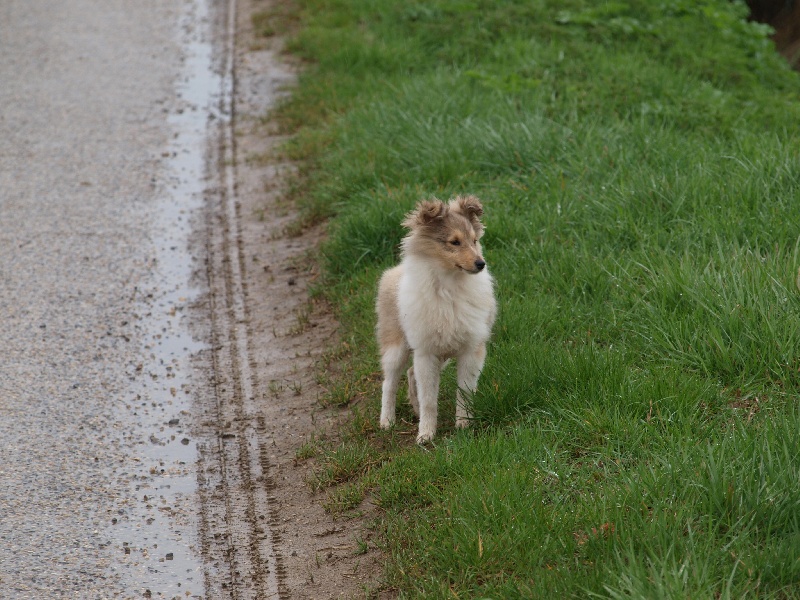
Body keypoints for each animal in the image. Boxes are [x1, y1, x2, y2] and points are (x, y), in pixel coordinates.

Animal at [374, 195, 494, 442]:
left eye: (474, 240)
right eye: (454, 242)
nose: (481, 264)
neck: (449, 287)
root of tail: (393, 271)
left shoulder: (471, 350)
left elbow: (464, 392)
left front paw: (463, 425)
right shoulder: (425, 352)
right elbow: (429, 398)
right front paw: (426, 435)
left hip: (442, 355)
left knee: (411, 374)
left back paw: (415, 409)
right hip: (396, 347)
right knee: (389, 383)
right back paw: (387, 421)